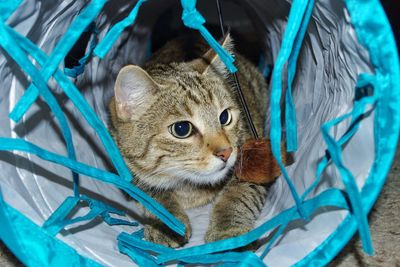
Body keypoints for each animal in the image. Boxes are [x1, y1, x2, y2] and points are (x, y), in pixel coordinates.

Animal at [108, 33, 272, 249]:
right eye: (182, 129)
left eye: (224, 117)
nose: (226, 152)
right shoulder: (127, 172)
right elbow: (155, 197)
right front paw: (168, 225)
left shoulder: (254, 161)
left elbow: (237, 196)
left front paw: (228, 233)